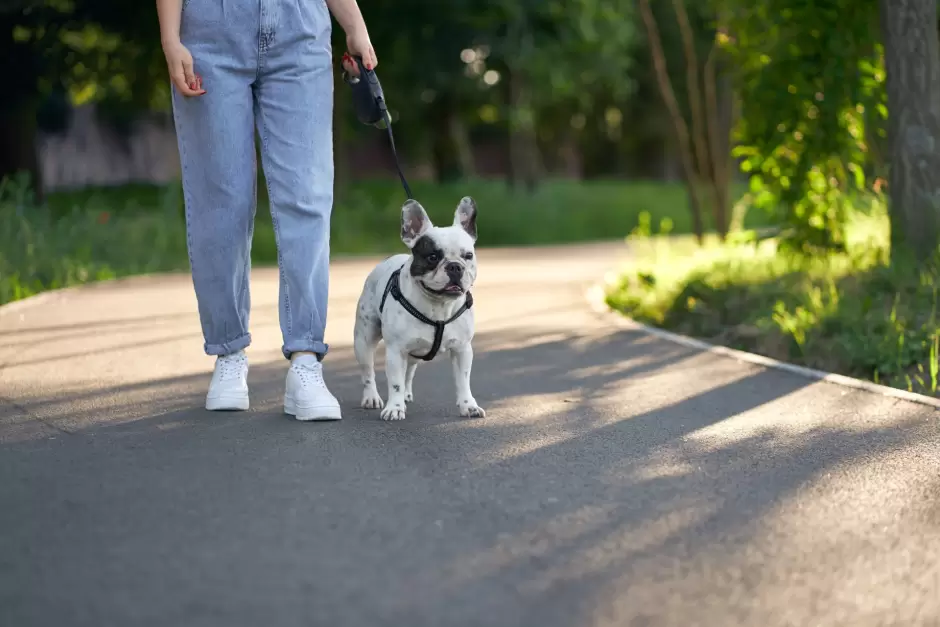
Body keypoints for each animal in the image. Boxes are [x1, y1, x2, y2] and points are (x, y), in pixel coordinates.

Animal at [354, 196, 484, 422]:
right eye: (432, 257)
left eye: (468, 255)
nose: (454, 266)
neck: (438, 305)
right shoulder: (395, 351)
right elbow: (395, 382)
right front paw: (394, 408)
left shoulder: (462, 350)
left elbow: (463, 381)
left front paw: (468, 406)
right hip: (364, 340)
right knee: (368, 371)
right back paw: (371, 398)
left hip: (414, 352)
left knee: (409, 371)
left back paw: (406, 394)